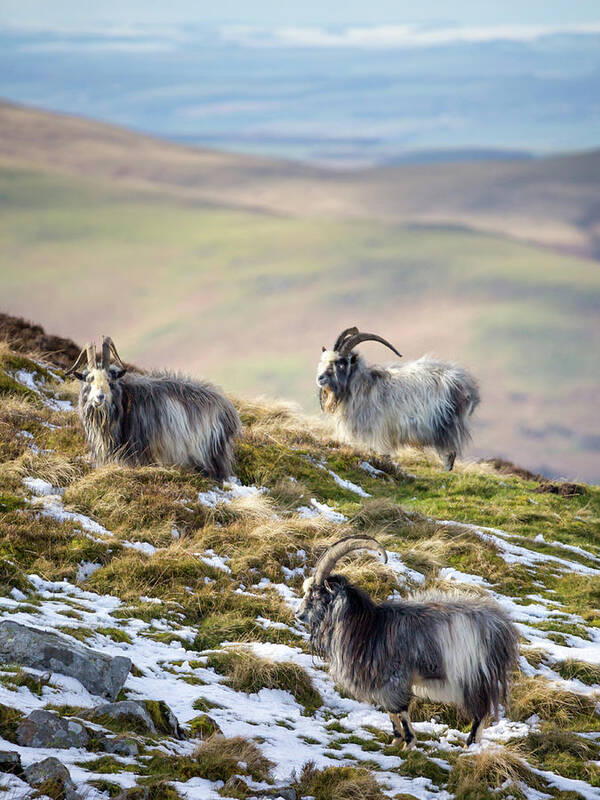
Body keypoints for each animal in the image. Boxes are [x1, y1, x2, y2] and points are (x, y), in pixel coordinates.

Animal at [296, 536, 520, 752]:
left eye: (315, 594)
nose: (298, 614)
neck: (368, 628)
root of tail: (503, 626)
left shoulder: (395, 678)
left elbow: (400, 710)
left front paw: (408, 743)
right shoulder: (382, 681)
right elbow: (390, 711)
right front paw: (395, 741)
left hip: (473, 676)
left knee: (480, 711)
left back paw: (469, 745)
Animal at [316, 328, 480, 472]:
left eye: (341, 363)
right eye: (323, 362)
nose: (320, 378)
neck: (363, 386)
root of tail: (467, 386)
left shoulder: (378, 432)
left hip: (446, 426)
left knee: (449, 455)